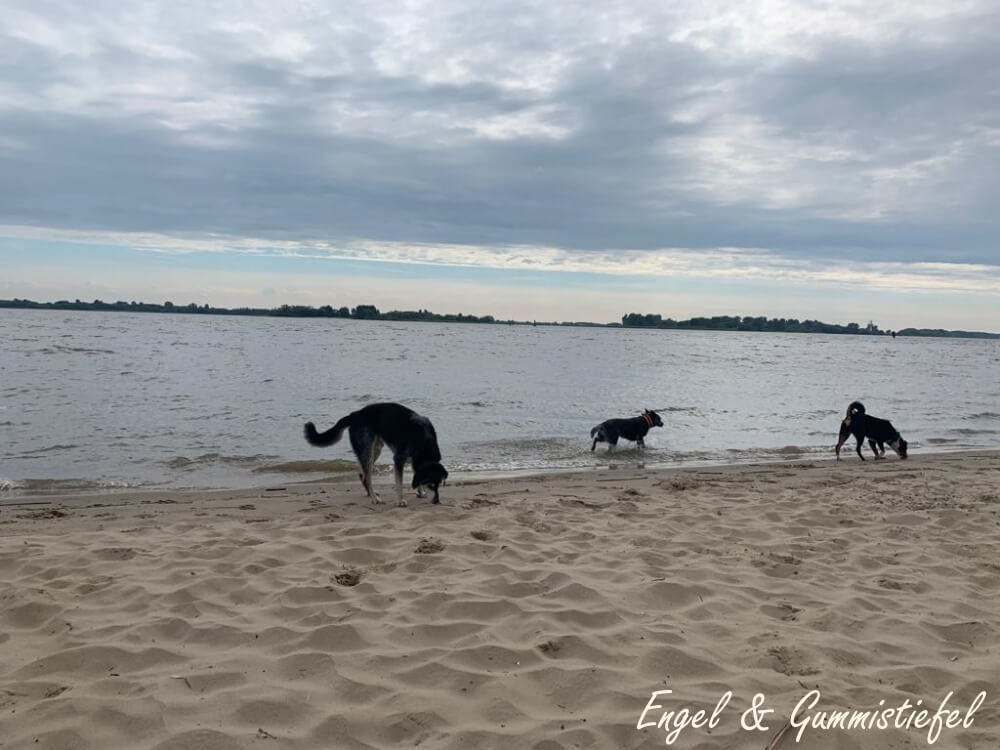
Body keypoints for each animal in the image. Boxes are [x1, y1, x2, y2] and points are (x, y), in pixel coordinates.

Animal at [302, 402, 448, 508]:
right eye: (431, 484)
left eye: (439, 484)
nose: (437, 501)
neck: (424, 439)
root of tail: (355, 414)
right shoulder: (398, 459)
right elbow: (399, 484)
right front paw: (400, 500)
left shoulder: (414, 459)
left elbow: (416, 476)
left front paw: (420, 492)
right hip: (367, 448)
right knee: (367, 477)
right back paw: (374, 498)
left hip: (376, 448)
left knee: (363, 474)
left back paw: (370, 494)